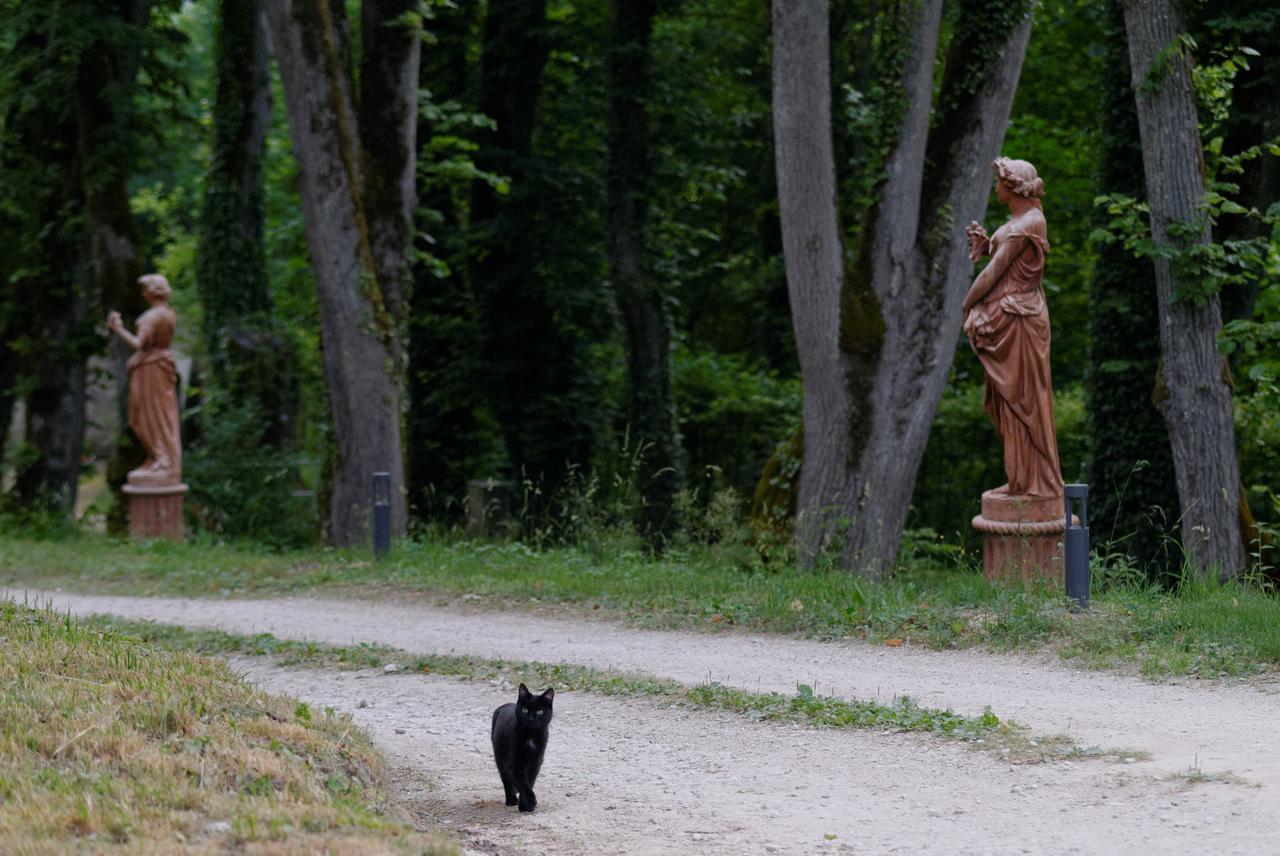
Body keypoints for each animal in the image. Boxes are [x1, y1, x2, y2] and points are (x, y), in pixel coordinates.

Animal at [486, 680, 552, 808]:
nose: (531, 718)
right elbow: (523, 784)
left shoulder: (536, 763)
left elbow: (529, 783)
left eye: (540, 712)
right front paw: (529, 803)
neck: (531, 736)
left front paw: (524, 805)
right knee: (506, 779)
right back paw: (510, 800)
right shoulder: (515, 765)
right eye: (525, 710)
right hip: (499, 757)